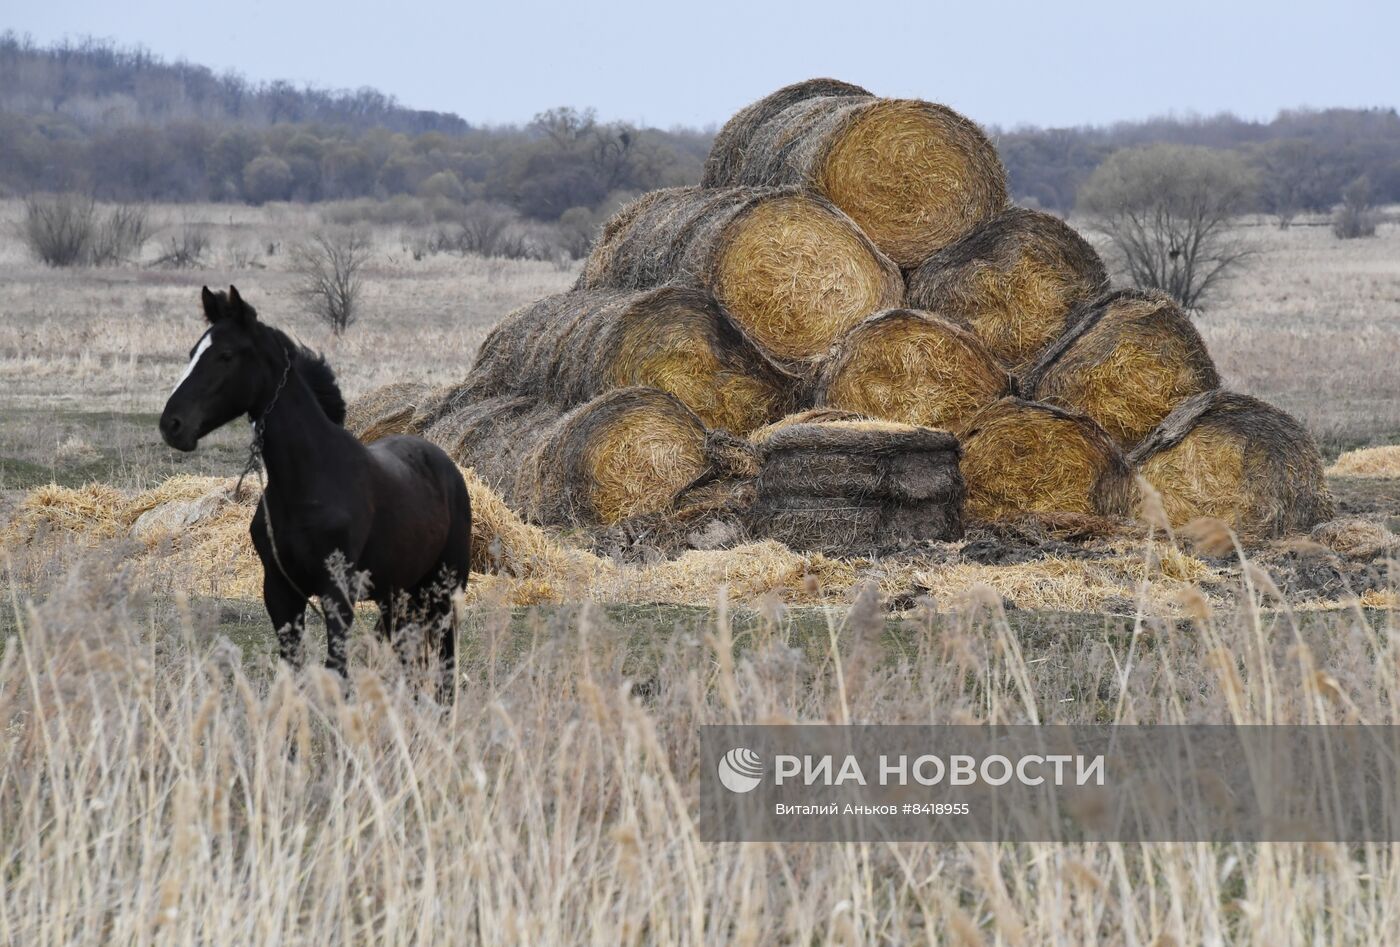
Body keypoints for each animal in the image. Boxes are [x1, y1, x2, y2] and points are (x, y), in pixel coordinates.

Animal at [161, 284, 473, 700]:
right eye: (193, 352)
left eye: (225, 355)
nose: (172, 424)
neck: (306, 485)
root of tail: (446, 465)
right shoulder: (280, 593)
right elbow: (292, 673)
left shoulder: (337, 593)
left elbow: (337, 674)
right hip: (398, 595)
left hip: (444, 591)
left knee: (445, 670)